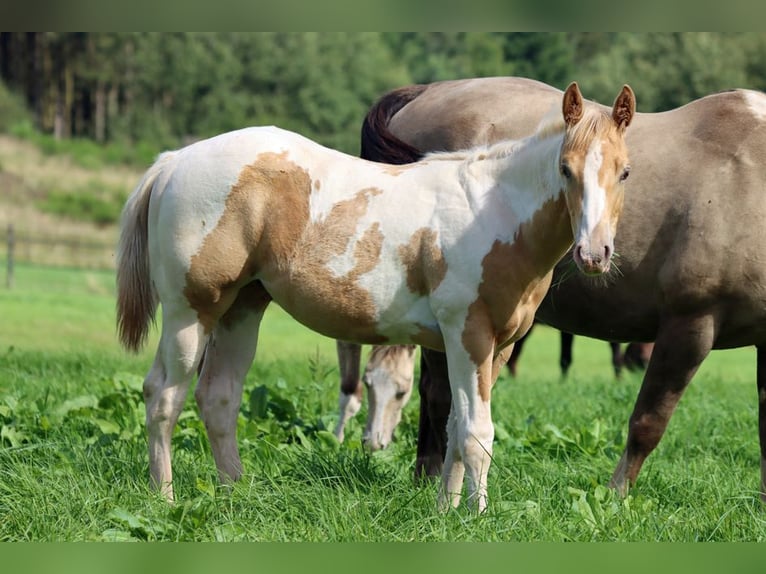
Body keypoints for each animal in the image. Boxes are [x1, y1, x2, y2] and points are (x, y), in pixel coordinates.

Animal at [116, 81, 636, 511]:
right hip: (190, 312)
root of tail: (173, 161)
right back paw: (164, 498)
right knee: (163, 396)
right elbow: (476, 432)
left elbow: (454, 427)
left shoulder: (498, 348)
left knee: (219, 397)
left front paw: (445, 512)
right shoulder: (468, 336)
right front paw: (477, 516)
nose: (594, 253)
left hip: (242, 309)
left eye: (625, 172)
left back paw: (235, 492)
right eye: (565, 169)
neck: (495, 212)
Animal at [352, 75, 766, 501]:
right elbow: (647, 424)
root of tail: (426, 92)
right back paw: (431, 479)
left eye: (626, 173)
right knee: (438, 395)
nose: (595, 252)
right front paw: (614, 498)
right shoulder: (691, 324)